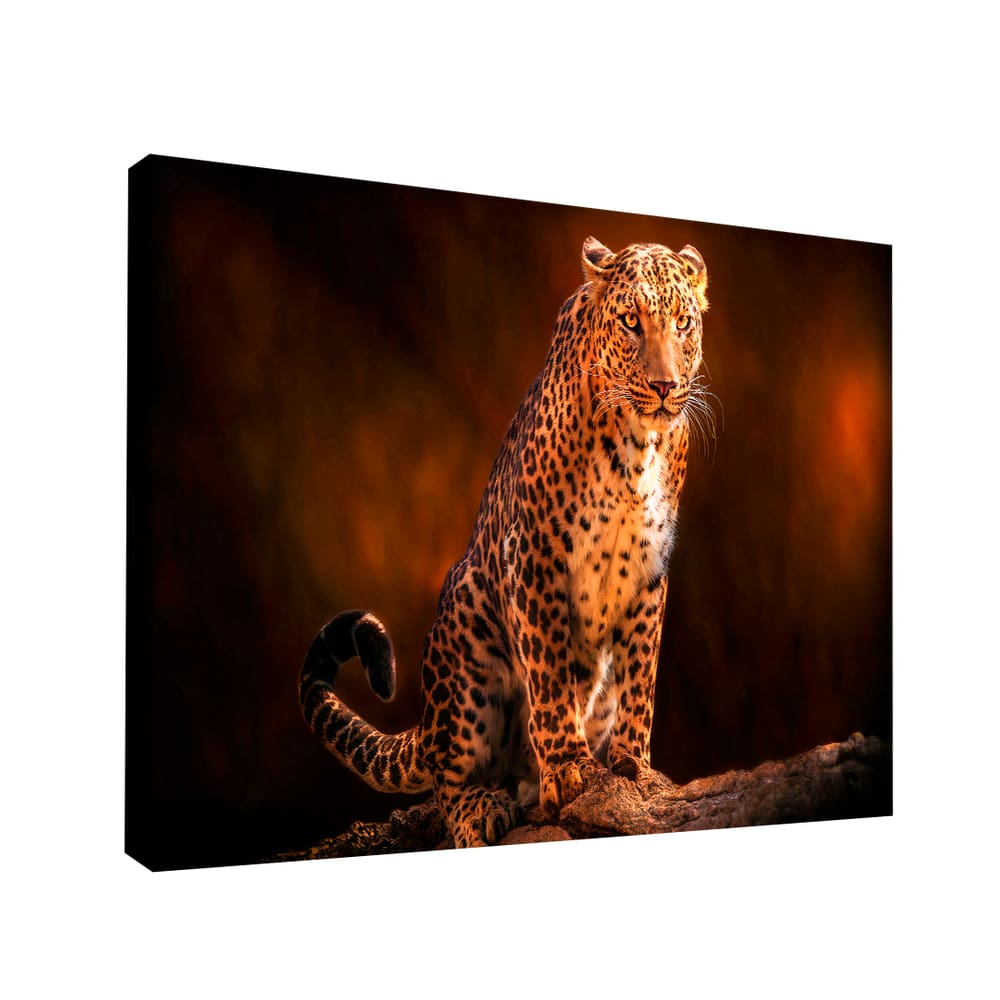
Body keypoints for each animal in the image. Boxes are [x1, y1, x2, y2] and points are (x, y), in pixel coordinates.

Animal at [299, 236, 712, 848]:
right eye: (631, 322)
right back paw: (484, 807)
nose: (664, 387)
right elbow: (548, 671)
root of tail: (427, 723)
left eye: (682, 323)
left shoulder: (649, 570)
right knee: (450, 779)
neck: (638, 447)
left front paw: (633, 766)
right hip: (466, 616)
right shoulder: (533, 553)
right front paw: (568, 767)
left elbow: (642, 673)